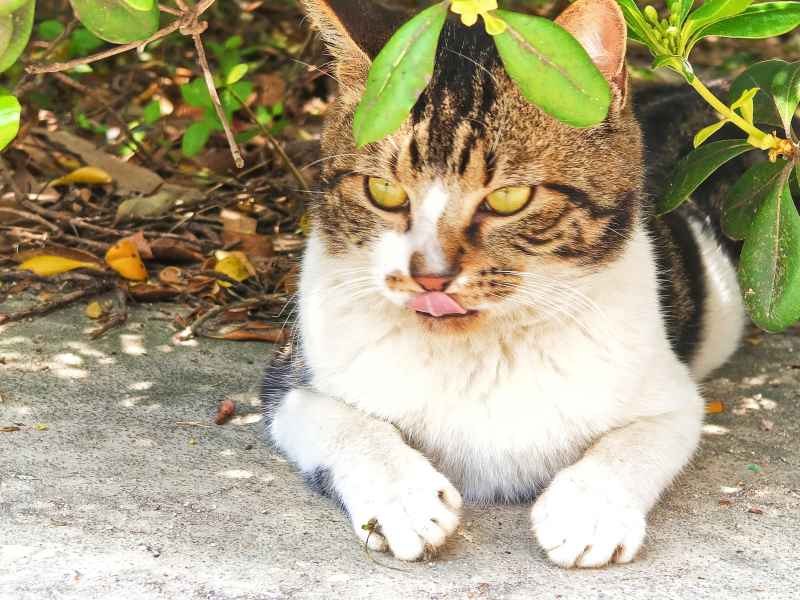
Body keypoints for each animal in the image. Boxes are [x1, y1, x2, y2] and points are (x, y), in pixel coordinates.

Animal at [260, 0, 744, 568]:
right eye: (384, 191)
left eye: (508, 199)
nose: (429, 274)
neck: (479, 352)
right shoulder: (290, 386)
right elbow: (350, 424)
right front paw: (405, 498)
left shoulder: (673, 400)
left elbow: (631, 444)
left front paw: (588, 511)